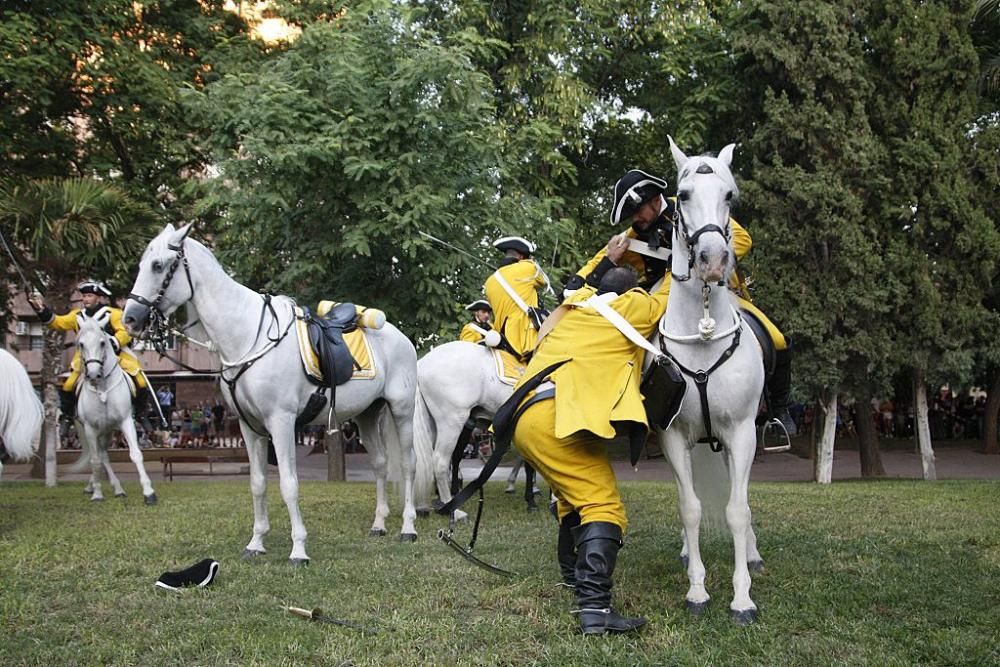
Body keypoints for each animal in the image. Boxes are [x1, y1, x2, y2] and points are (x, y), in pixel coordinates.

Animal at [73, 316, 158, 504]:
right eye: (81, 344)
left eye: (103, 342)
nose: (93, 375)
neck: (103, 389)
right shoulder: (90, 428)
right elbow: (95, 460)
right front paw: (97, 493)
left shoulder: (125, 421)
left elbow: (136, 454)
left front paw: (149, 492)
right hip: (98, 430)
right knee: (100, 456)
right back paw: (100, 487)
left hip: (108, 430)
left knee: (104, 453)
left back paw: (116, 488)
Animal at [123, 224, 420, 564]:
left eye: (158, 265)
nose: (130, 318)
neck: (246, 336)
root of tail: (400, 337)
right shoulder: (249, 427)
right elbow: (258, 483)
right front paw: (256, 542)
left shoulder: (281, 422)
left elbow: (289, 485)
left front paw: (298, 549)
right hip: (367, 414)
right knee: (381, 464)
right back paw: (379, 524)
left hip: (401, 411)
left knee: (408, 463)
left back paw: (408, 527)